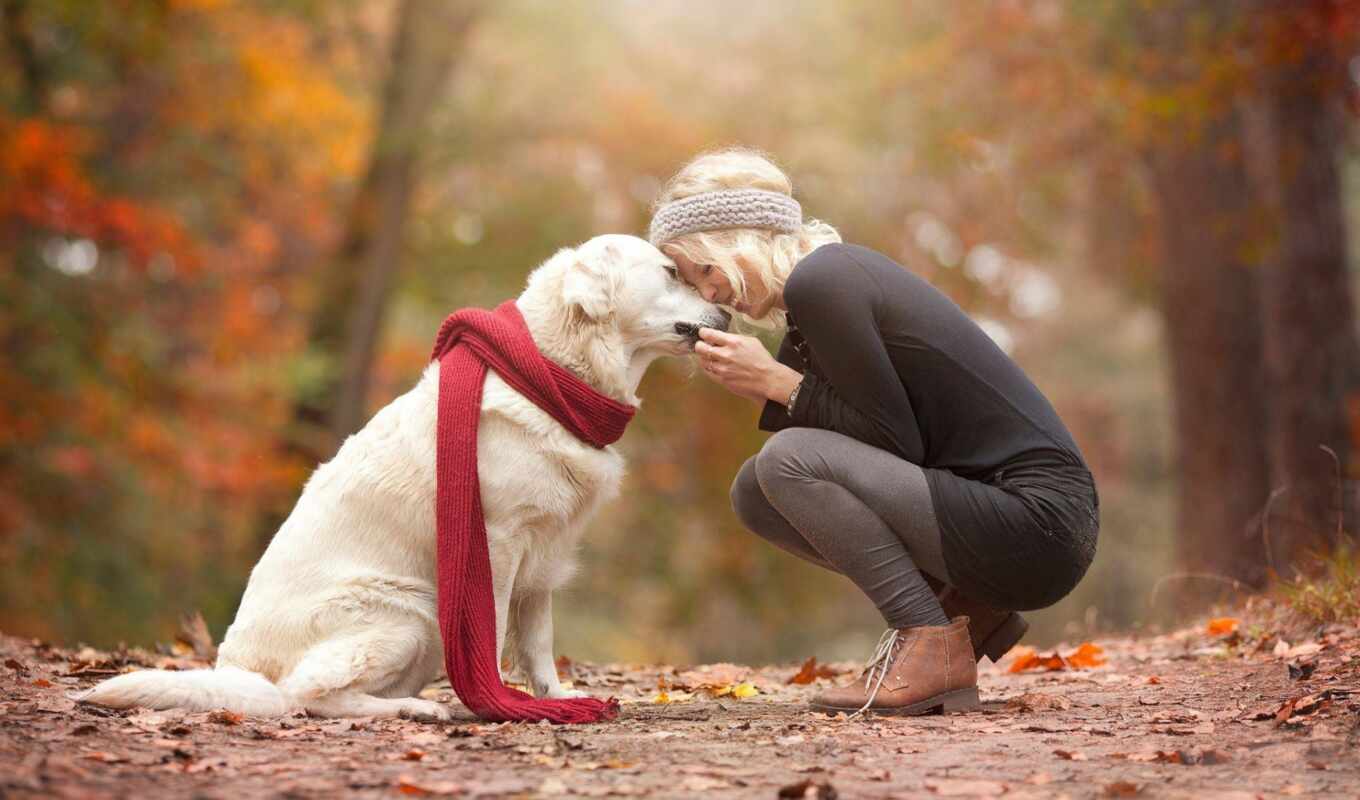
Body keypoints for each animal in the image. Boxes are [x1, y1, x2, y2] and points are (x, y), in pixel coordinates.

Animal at [80, 234, 728, 723]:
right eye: (671, 272)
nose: (725, 311)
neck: (552, 374)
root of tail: (237, 669)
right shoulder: (497, 542)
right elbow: (492, 630)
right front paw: (499, 701)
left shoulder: (543, 555)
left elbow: (539, 642)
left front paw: (555, 698)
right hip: (410, 613)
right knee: (305, 696)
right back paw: (417, 710)